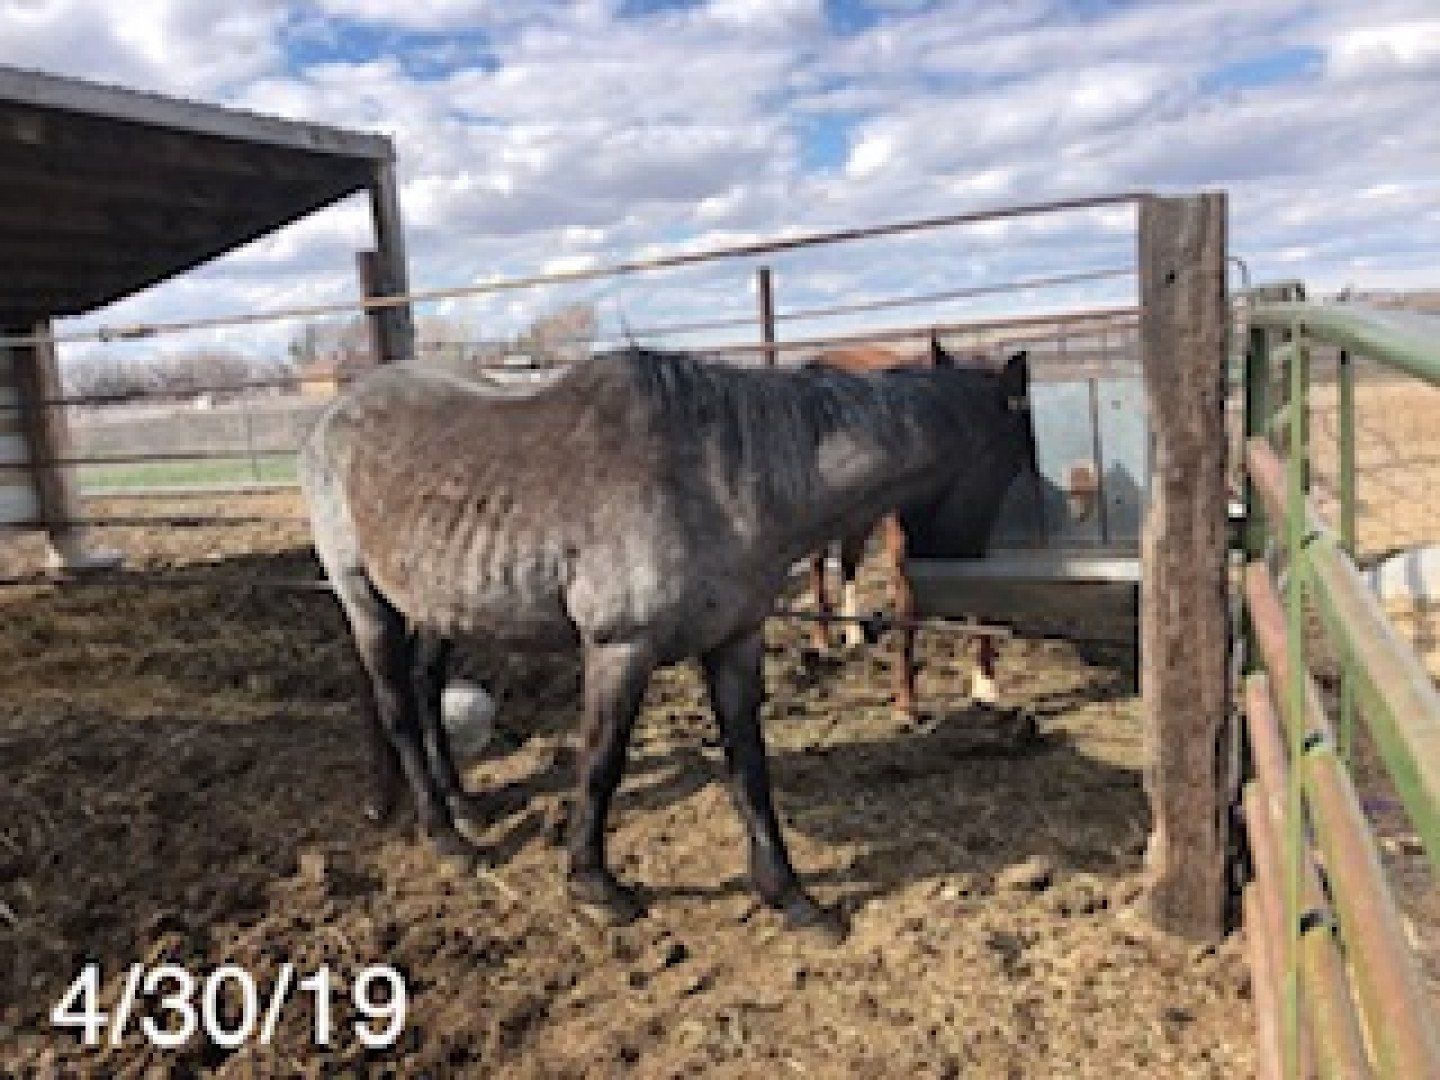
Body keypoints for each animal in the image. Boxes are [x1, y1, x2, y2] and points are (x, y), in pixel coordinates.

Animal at [805, 339, 1035, 711]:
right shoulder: (903, 550)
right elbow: (906, 619)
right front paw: (906, 704)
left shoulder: (979, 547)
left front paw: (986, 688)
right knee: (818, 562)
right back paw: (823, 639)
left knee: (850, 559)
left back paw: (854, 634)